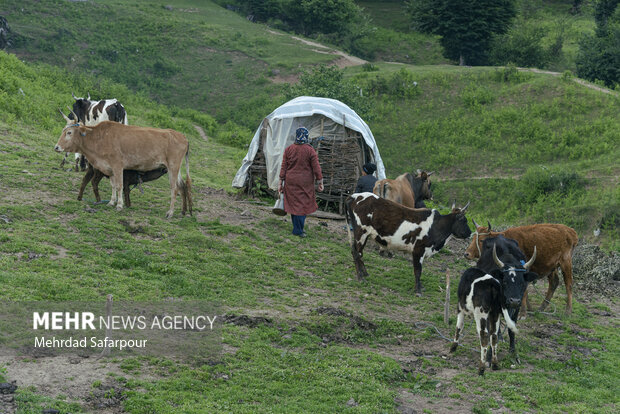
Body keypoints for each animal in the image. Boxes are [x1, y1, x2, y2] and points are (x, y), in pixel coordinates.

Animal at [55, 118, 191, 218]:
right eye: (63, 131)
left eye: (69, 132)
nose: (56, 147)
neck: (99, 138)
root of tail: (182, 136)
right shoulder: (109, 168)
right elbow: (113, 185)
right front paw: (111, 202)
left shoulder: (117, 165)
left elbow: (119, 185)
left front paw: (119, 205)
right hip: (176, 168)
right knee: (182, 186)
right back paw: (183, 211)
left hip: (173, 166)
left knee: (174, 188)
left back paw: (170, 212)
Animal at [450, 236, 536, 376]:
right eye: (505, 281)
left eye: (522, 283)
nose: (514, 300)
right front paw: (490, 357)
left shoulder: (515, 309)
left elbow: (511, 330)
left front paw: (514, 354)